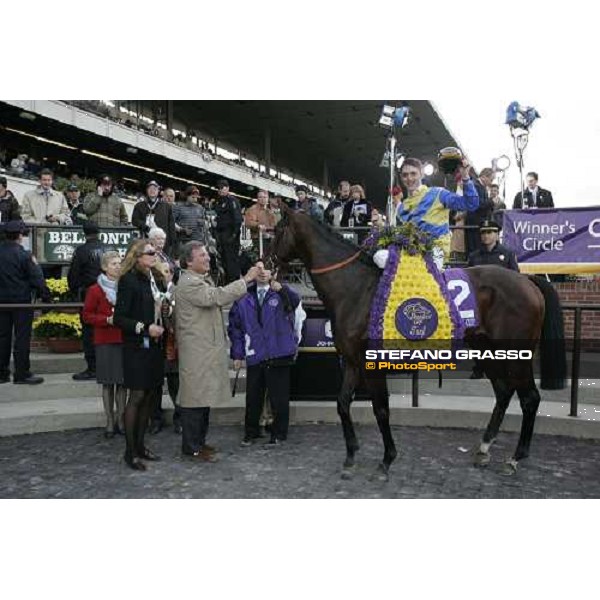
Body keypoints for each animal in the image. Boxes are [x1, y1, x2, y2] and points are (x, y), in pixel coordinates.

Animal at [268, 205, 568, 478]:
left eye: (276, 230)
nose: (263, 262)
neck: (356, 289)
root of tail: (527, 280)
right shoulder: (352, 362)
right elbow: (342, 404)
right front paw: (351, 456)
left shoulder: (372, 365)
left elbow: (381, 410)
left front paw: (386, 460)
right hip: (488, 351)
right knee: (504, 392)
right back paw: (484, 449)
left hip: (517, 355)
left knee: (529, 398)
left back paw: (515, 458)